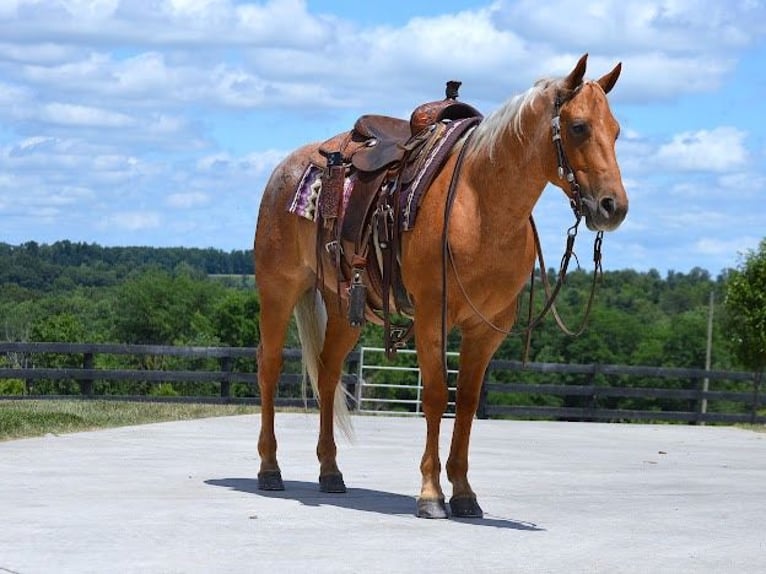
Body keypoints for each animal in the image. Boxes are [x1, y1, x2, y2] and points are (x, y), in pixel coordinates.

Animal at [255, 55, 628, 520]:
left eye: (616, 130)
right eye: (578, 127)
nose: (613, 207)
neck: (480, 204)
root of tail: (285, 168)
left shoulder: (487, 329)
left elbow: (465, 403)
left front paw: (465, 492)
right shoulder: (433, 315)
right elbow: (435, 396)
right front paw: (431, 494)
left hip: (343, 306)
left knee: (327, 374)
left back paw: (330, 472)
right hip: (278, 290)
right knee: (269, 367)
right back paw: (269, 469)